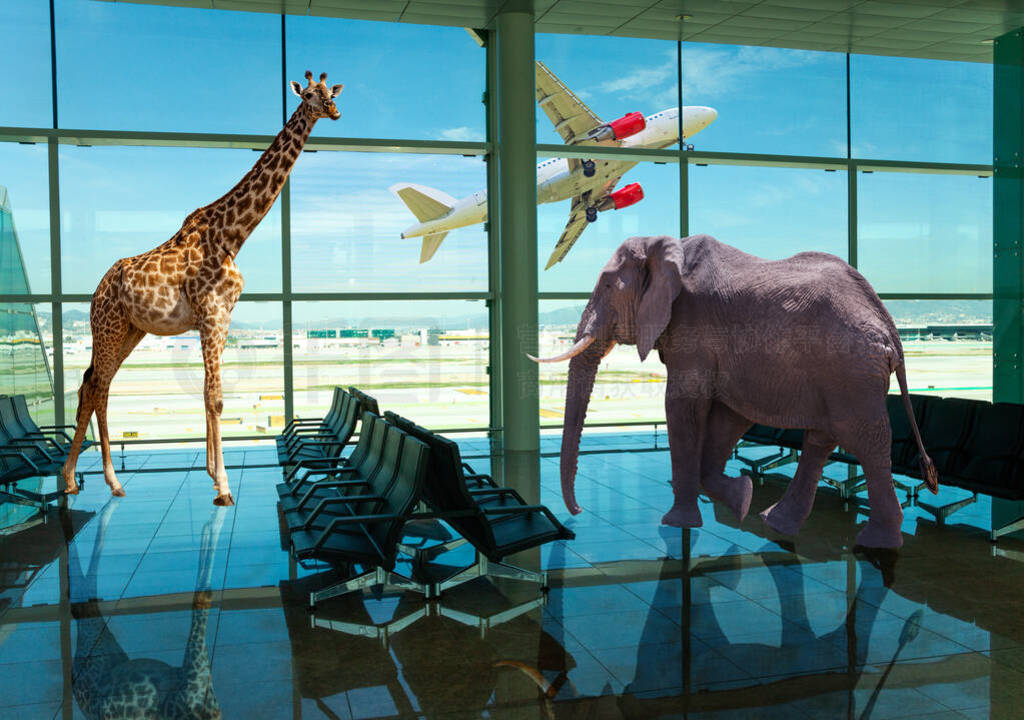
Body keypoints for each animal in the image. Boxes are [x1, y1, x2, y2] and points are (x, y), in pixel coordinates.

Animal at [60, 70, 344, 503]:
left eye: (331, 91)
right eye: (309, 94)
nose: (333, 109)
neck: (232, 235)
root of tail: (96, 292)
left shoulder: (221, 318)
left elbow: (212, 395)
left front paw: (212, 474)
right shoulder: (211, 315)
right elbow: (216, 397)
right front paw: (223, 486)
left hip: (131, 330)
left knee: (94, 385)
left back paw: (83, 480)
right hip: (108, 327)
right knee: (96, 387)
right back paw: (95, 479)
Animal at [532, 233, 937, 548]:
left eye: (605, 286)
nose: (577, 514)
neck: (666, 247)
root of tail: (889, 326)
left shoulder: (693, 325)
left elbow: (682, 405)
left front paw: (677, 523)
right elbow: (727, 417)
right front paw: (742, 499)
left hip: (851, 369)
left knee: (864, 439)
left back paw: (876, 543)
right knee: (822, 438)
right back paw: (775, 522)